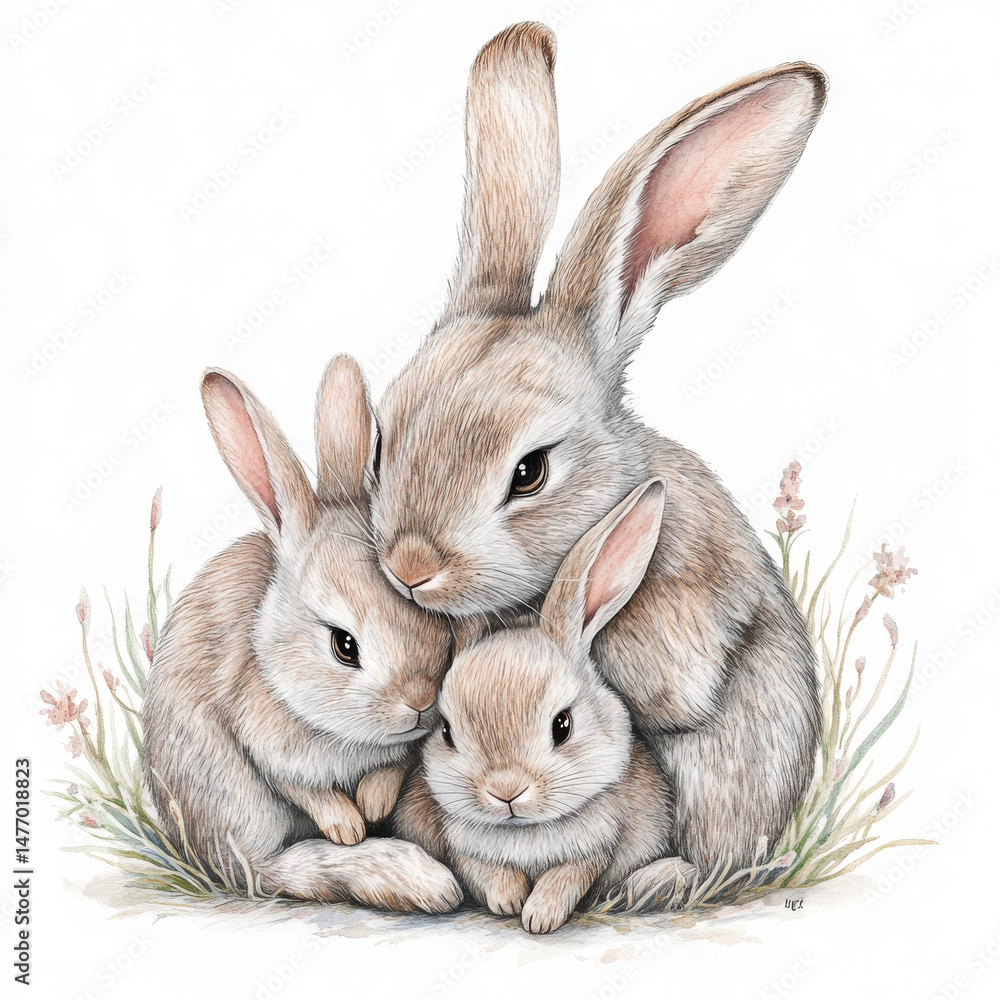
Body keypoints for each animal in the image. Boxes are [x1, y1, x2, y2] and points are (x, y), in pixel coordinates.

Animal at [142, 355, 462, 913]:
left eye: (436, 623)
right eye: (344, 646)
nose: (421, 702)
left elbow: (394, 765)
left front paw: (373, 801)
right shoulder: (264, 737)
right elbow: (302, 788)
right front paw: (349, 826)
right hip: (237, 803)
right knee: (265, 872)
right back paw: (420, 880)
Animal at [394, 479, 696, 934]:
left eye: (563, 725)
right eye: (446, 732)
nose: (506, 791)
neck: (526, 832)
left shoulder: (594, 849)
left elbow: (566, 876)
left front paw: (540, 916)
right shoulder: (459, 845)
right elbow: (482, 870)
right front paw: (508, 900)